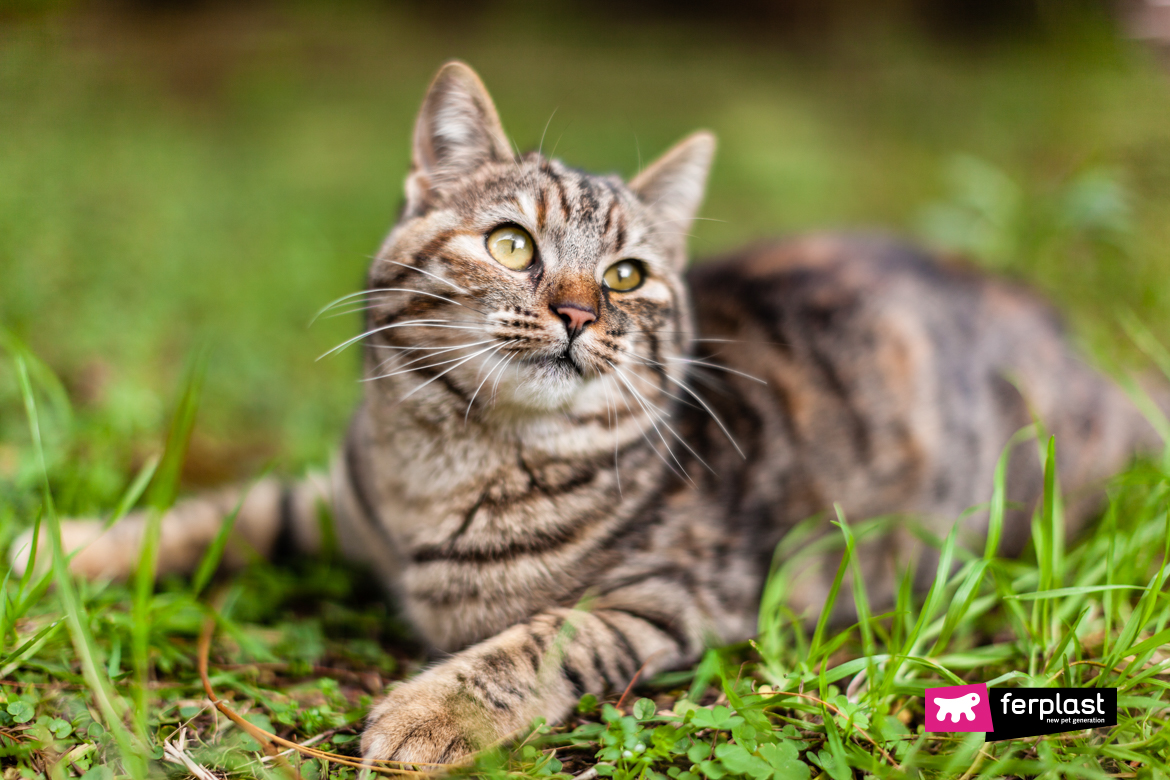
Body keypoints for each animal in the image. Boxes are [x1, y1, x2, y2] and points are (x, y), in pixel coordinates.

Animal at [11, 59, 1160, 762]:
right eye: (512, 242)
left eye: (627, 274)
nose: (576, 311)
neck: (451, 467)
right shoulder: (331, 501)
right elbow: (216, 514)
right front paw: (58, 551)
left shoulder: (673, 600)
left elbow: (540, 639)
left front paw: (430, 710)